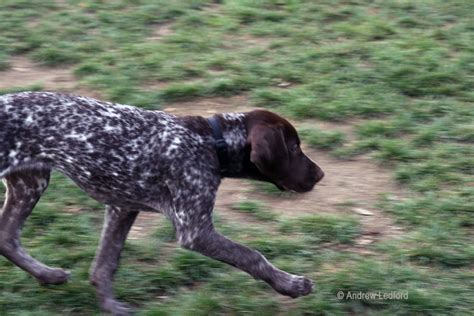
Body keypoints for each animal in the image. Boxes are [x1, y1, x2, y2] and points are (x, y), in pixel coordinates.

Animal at [0, 90, 324, 314]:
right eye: (294, 147)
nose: (320, 175)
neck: (209, 143)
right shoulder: (195, 231)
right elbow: (252, 256)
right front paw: (291, 285)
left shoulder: (122, 208)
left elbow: (105, 264)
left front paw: (109, 306)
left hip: (30, 184)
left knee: (7, 237)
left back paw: (47, 275)